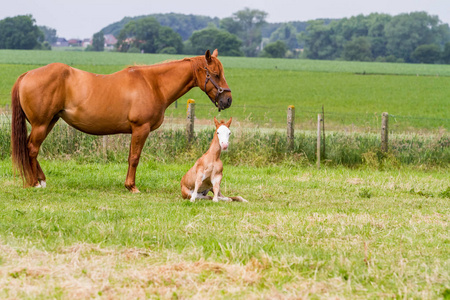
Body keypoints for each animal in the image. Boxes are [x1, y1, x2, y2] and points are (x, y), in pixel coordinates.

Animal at [10, 49, 232, 192]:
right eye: (215, 74)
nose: (228, 100)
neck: (153, 84)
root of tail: (27, 74)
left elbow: (130, 157)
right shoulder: (140, 129)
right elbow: (134, 158)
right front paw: (131, 186)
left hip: (49, 122)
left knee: (31, 149)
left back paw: (41, 180)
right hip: (41, 124)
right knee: (31, 149)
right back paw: (34, 182)